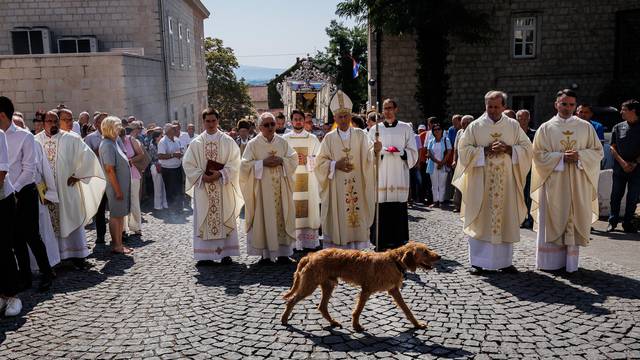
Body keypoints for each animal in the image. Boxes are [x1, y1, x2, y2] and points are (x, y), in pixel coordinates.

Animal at [280, 242, 440, 332]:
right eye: (425, 252)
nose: (439, 256)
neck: (394, 261)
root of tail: (310, 256)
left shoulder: (394, 290)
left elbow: (407, 310)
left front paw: (417, 325)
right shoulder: (366, 290)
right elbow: (358, 310)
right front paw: (356, 326)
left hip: (328, 285)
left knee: (322, 307)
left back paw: (333, 322)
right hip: (309, 285)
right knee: (291, 300)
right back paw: (284, 319)